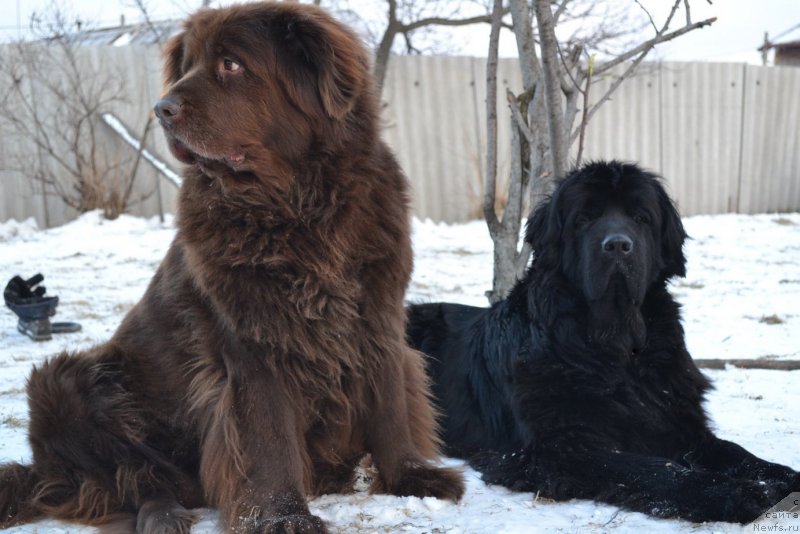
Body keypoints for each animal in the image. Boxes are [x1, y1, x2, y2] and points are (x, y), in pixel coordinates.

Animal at [0, 2, 462, 532]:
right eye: (188, 66)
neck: (300, 206)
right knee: (131, 480)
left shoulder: (377, 315)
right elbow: (268, 438)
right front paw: (284, 516)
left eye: (232, 64)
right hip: (63, 383)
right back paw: (163, 514)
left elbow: (390, 405)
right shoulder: (253, 345)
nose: (161, 109)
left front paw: (412, 477)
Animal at [410, 160, 796, 524]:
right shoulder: (561, 447)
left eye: (641, 217)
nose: (618, 245)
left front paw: (782, 479)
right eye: (584, 219)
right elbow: (654, 468)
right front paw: (736, 493)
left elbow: (735, 453)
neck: (615, 349)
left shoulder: (677, 422)